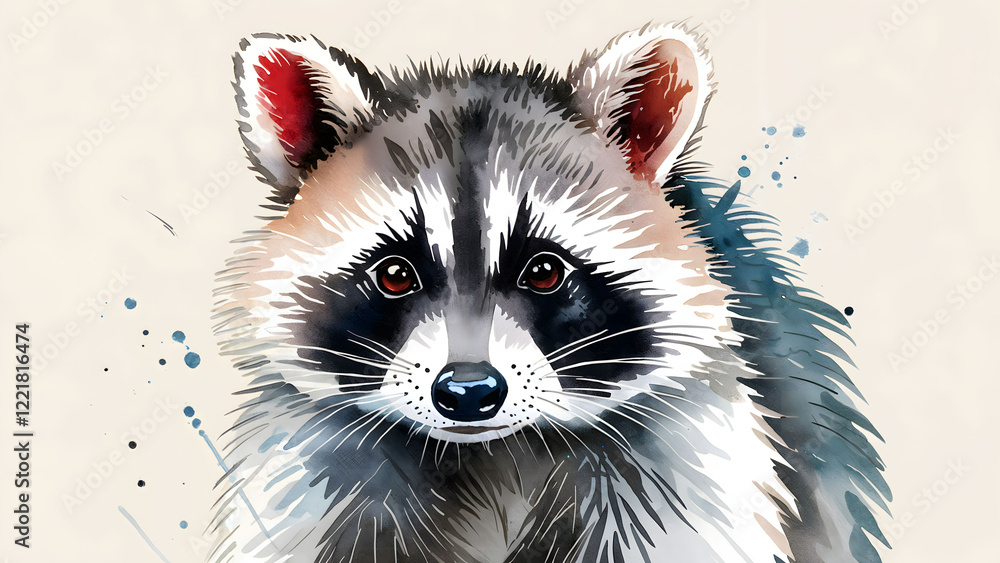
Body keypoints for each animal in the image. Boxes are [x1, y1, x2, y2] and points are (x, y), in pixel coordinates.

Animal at [210, 23, 890, 563]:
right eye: (395, 273)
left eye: (544, 271)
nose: (468, 391)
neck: (492, 452)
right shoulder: (318, 466)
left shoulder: (685, 457)